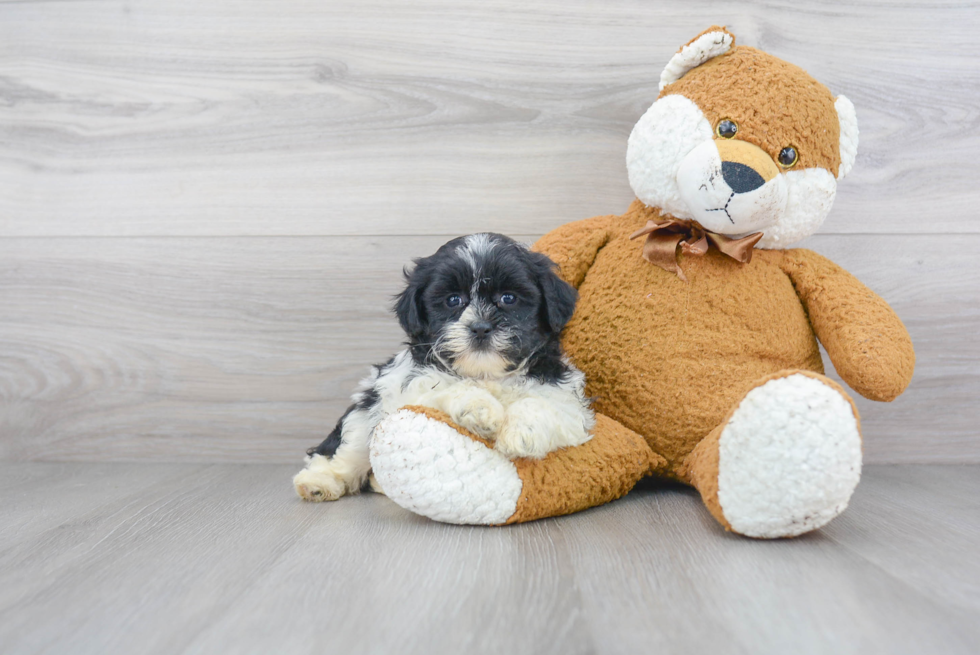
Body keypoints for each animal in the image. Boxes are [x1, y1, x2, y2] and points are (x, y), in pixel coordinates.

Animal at [294, 234, 592, 502]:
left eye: (509, 298)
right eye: (453, 300)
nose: (480, 327)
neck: (487, 374)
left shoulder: (570, 403)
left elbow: (544, 403)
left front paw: (522, 433)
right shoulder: (408, 391)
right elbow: (447, 387)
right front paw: (479, 408)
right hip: (365, 412)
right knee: (344, 452)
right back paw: (318, 483)